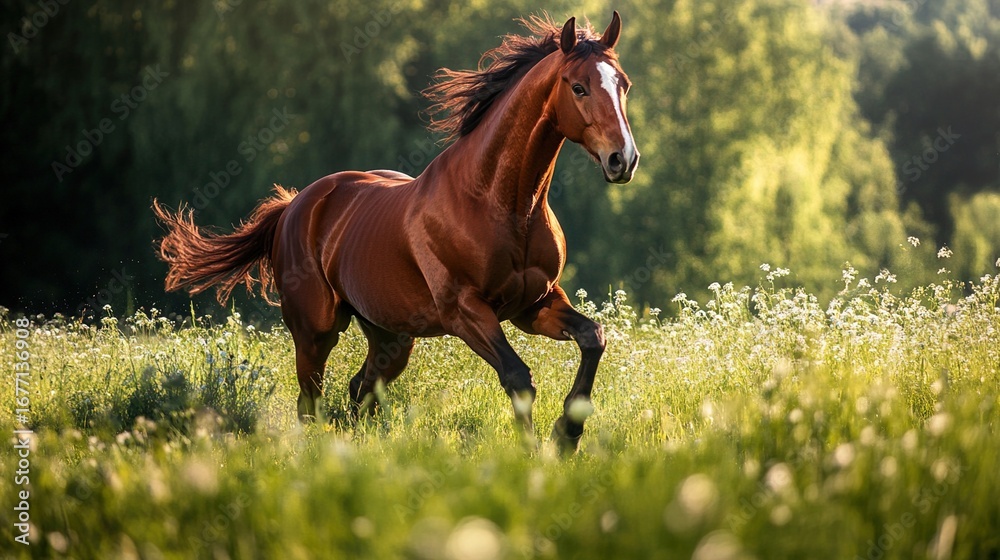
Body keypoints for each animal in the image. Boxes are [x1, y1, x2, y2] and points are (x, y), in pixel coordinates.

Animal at [153, 12, 638, 454]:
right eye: (578, 86)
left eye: (624, 84)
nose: (624, 159)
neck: (500, 202)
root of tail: (293, 206)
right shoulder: (466, 311)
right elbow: (518, 377)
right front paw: (538, 452)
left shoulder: (534, 305)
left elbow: (593, 338)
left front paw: (567, 435)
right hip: (315, 332)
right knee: (310, 404)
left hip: (390, 337)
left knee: (359, 391)